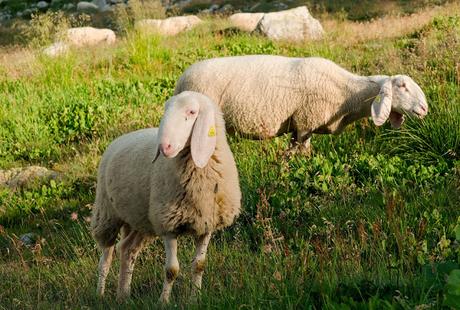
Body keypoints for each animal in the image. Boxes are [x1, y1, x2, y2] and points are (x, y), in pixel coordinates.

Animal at [90, 91, 241, 304]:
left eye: (192, 112)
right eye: (166, 109)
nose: (164, 147)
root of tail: (121, 138)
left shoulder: (206, 224)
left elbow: (199, 265)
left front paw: (195, 298)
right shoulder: (168, 225)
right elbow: (171, 270)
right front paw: (164, 302)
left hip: (141, 221)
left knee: (127, 249)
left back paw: (123, 295)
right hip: (107, 214)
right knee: (106, 256)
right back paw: (100, 293)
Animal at [174, 55, 430, 154]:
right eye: (402, 86)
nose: (424, 109)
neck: (347, 93)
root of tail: (181, 80)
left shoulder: (301, 126)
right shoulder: (305, 123)